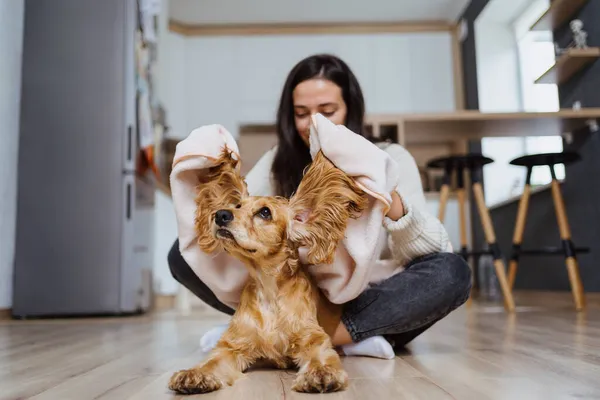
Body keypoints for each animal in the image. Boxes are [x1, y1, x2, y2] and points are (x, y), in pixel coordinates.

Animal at [166, 146, 368, 394]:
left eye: (264, 213)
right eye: (236, 207)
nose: (221, 214)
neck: (268, 287)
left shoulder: (312, 338)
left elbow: (320, 356)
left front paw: (321, 373)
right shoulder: (233, 345)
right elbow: (213, 361)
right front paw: (195, 374)